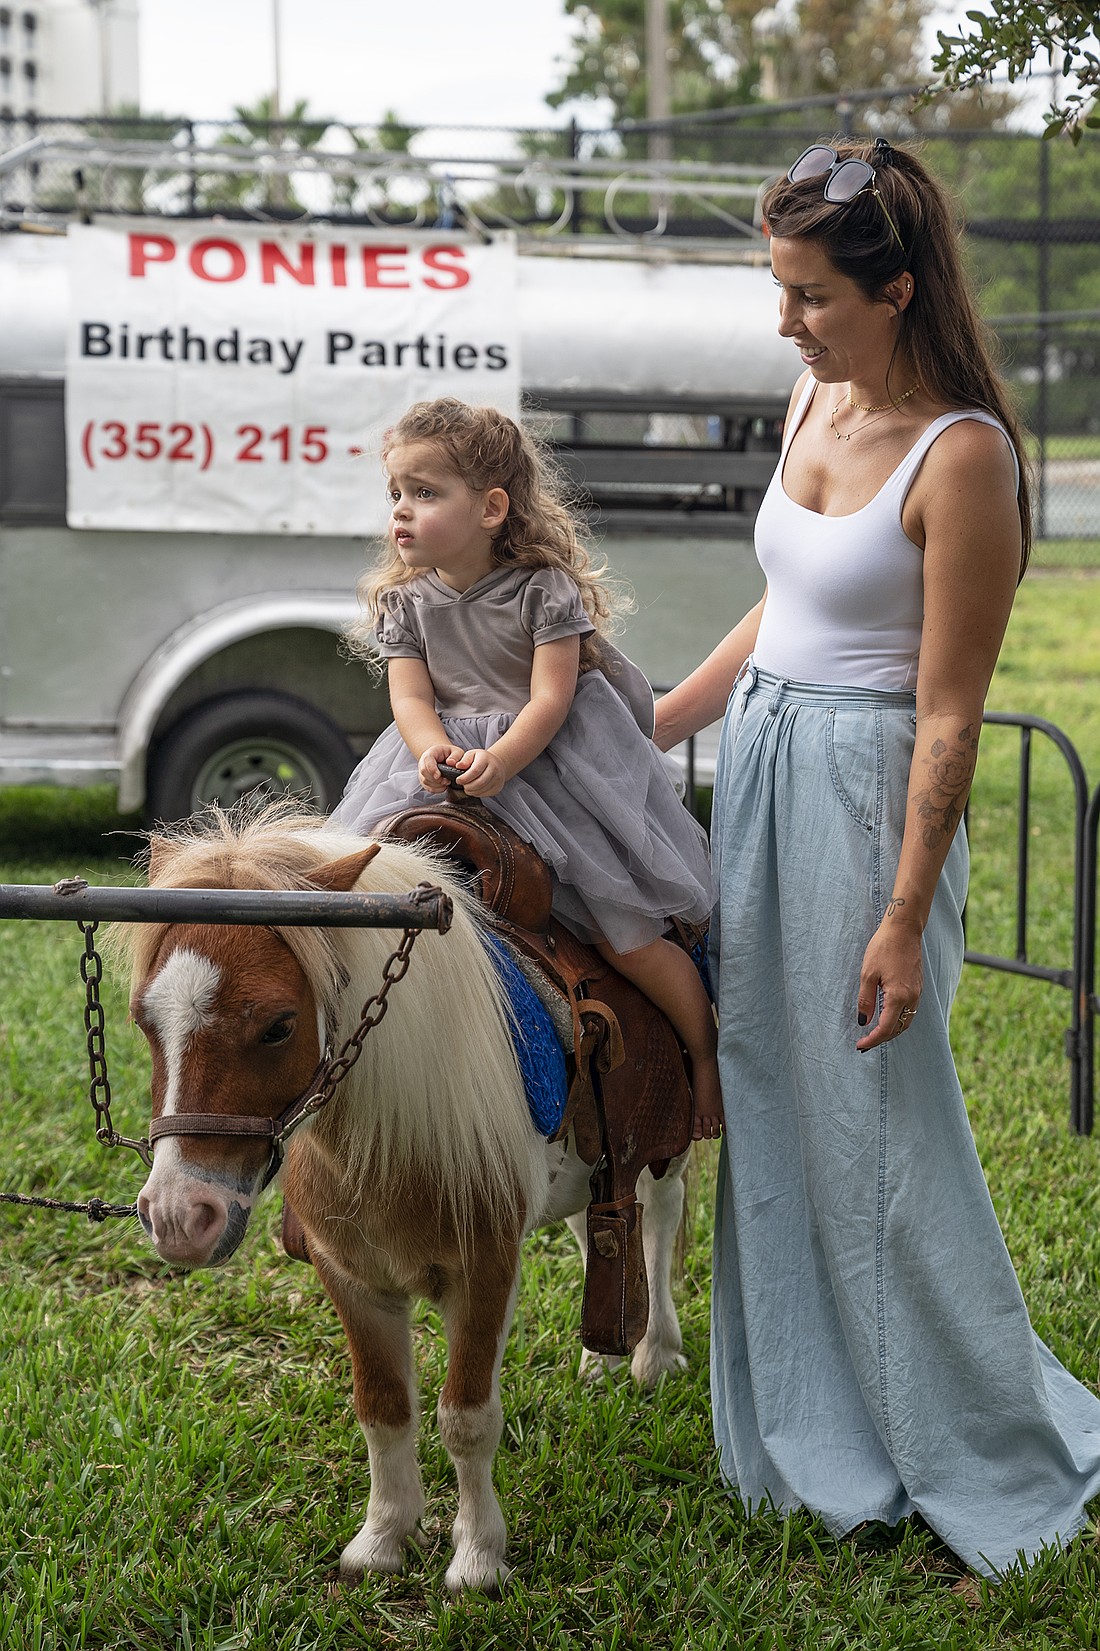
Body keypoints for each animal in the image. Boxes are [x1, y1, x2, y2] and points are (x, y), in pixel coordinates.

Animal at [118, 804, 691, 1594]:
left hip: (660, 1153)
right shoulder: (351, 1278)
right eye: (145, 1021)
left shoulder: (484, 1271)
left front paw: (477, 1556)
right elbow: (383, 1408)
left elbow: (466, 1416)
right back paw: (600, 1360)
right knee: (592, 1228)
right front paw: (385, 1535)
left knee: (660, 1223)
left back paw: (655, 1353)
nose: (180, 1216)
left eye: (278, 1025)